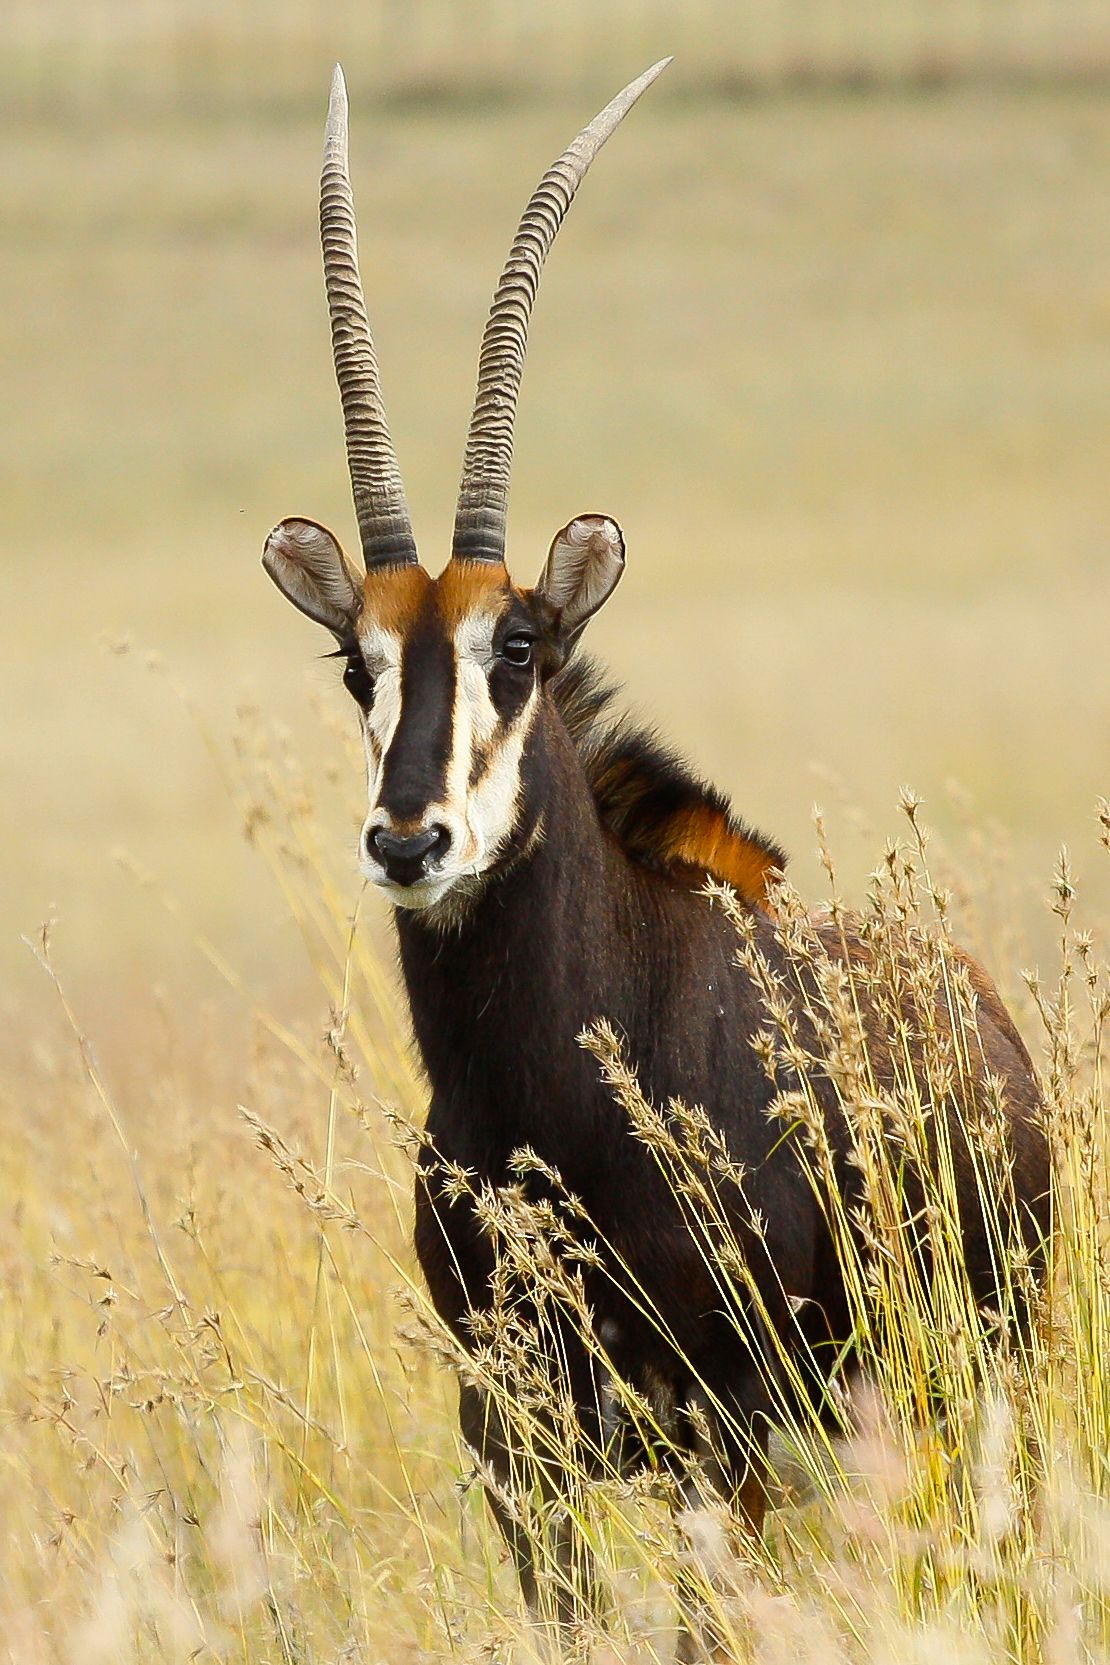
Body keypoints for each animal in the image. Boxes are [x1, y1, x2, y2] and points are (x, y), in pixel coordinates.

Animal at [263, 62, 1051, 1655]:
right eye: (353, 663)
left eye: (517, 647)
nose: (408, 838)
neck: (551, 1092)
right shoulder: (514, 1436)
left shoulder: (722, 1431)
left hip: (962, 1379)